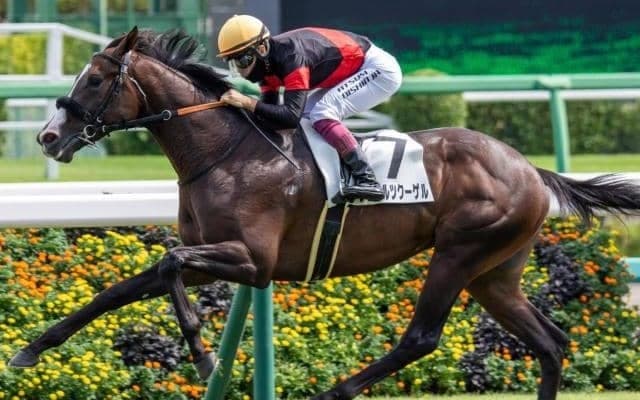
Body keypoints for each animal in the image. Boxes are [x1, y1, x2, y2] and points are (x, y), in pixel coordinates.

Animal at [10, 27, 640, 400]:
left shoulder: (253, 261)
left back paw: (332, 392)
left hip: (461, 253)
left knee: (421, 338)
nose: (47, 137)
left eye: (94, 79)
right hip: (495, 273)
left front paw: (207, 360)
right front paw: (30, 349)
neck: (225, 151)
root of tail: (530, 169)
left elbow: (167, 265)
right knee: (550, 343)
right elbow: (121, 288)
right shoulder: (212, 258)